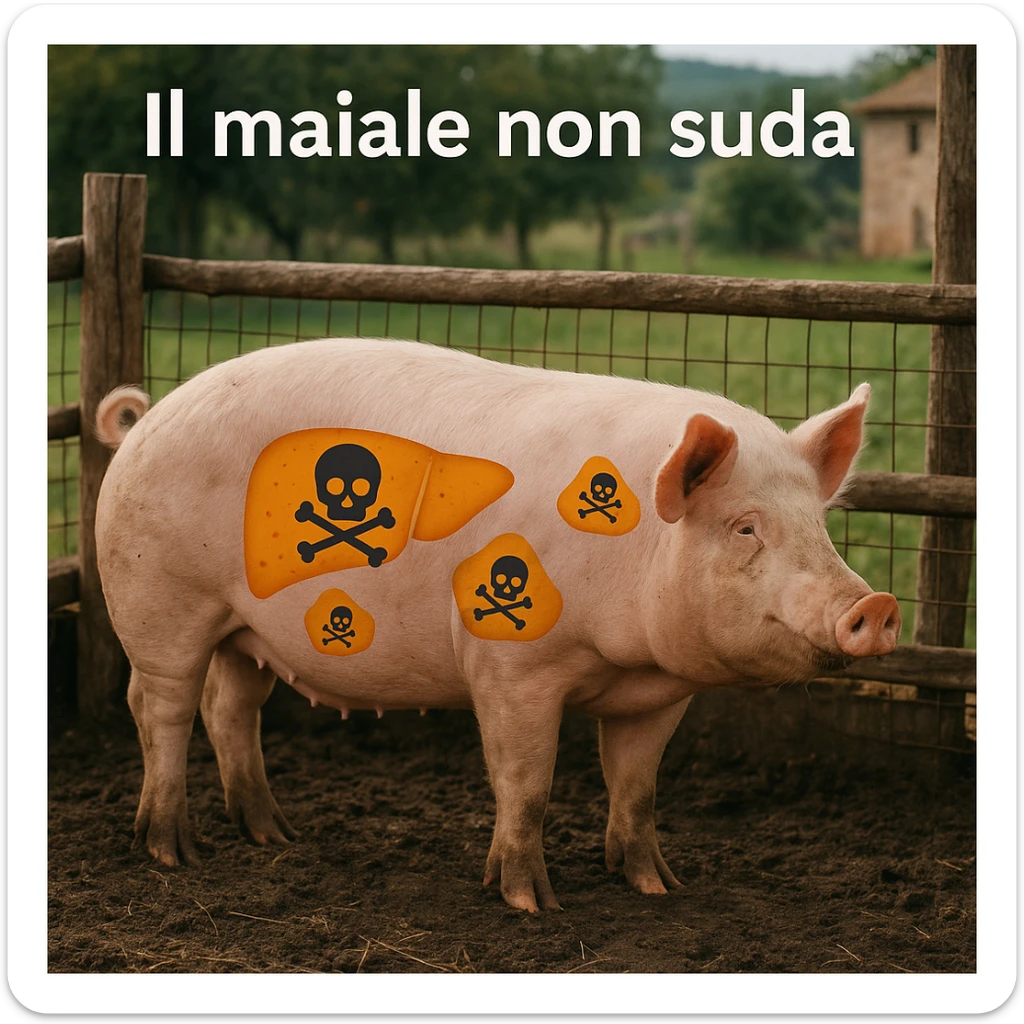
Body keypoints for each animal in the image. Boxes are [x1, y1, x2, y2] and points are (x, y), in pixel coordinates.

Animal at [94, 337, 901, 913]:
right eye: (744, 527)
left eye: (820, 525)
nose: (877, 606)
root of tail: (144, 422)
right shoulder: (512, 667)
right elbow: (527, 782)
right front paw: (529, 904)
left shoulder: (659, 695)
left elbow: (638, 788)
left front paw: (658, 887)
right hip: (159, 600)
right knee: (158, 706)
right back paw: (172, 851)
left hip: (244, 630)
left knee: (230, 706)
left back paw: (272, 834)